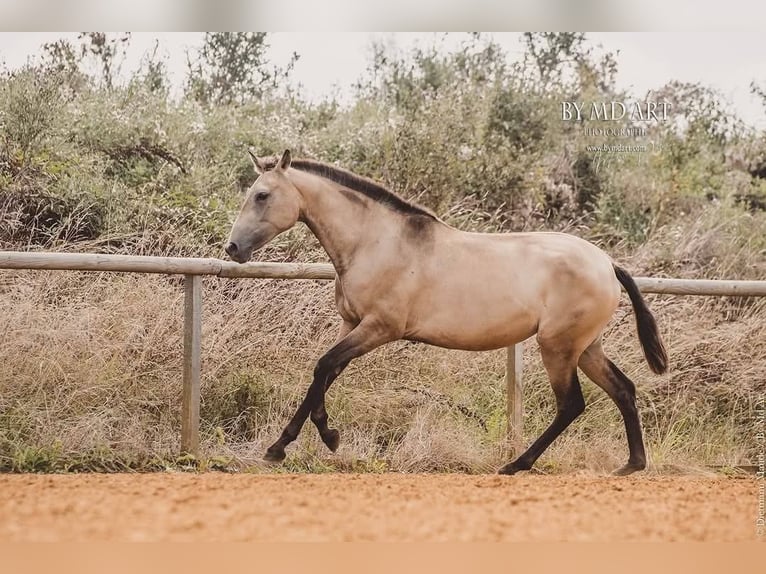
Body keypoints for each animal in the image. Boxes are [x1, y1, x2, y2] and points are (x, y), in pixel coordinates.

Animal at [225, 149, 667, 475]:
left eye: (262, 195)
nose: (232, 248)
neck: (377, 242)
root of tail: (607, 263)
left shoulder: (380, 327)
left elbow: (323, 367)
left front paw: (308, 441)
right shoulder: (351, 323)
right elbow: (325, 373)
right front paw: (296, 442)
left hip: (557, 347)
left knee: (571, 405)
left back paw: (515, 465)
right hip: (586, 347)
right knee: (623, 389)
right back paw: (631, 465)